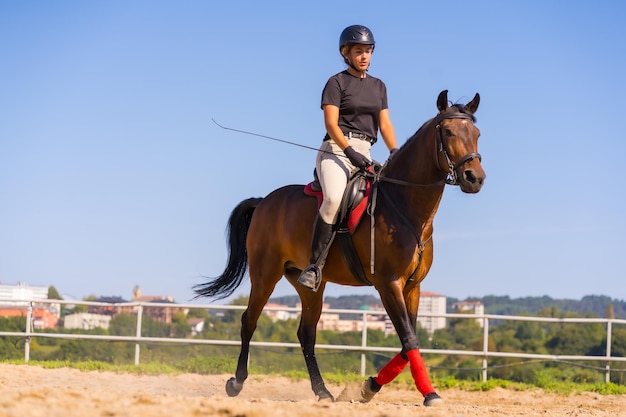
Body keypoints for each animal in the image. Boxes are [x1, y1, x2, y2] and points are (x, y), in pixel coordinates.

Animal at [194, 89, 482, 404]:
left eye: (477, 133)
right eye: (449, 132)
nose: (475, 178)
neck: (405, 210)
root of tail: (264, 201)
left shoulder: (413, 287)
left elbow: (409, 344)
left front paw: (369, 387)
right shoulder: (388, 284)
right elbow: (409, 339)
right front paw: (428, 394)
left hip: (309, 285)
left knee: (306, 334)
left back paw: (322, 391)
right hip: (265, 274)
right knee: (249, 321)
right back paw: (236, 382)